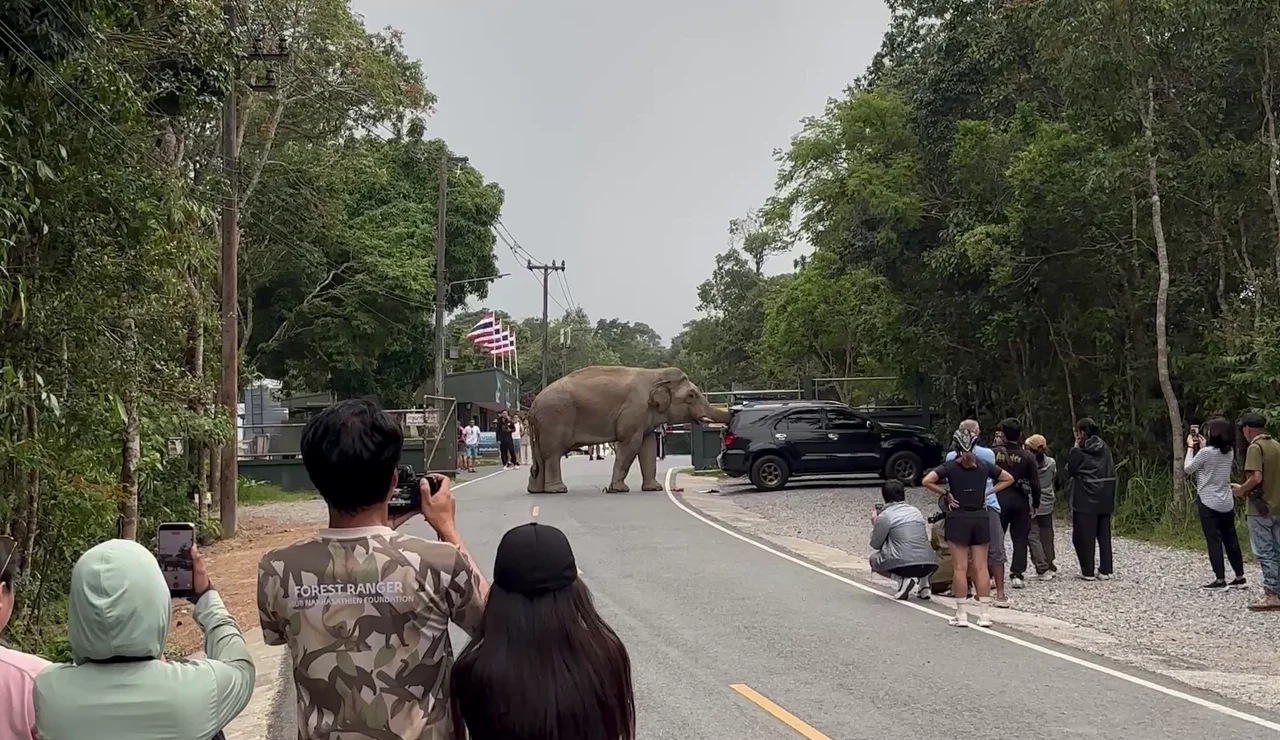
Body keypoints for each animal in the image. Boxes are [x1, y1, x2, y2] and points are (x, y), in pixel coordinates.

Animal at [527, 366, 730, 493]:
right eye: (691, 395)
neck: (656, 375)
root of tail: (533, 406)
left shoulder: (645, 417)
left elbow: (648, 447)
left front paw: (654, 488)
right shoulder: (634, 410)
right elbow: (630, 445)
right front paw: (618, 489)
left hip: (543, 425)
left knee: (540, 457)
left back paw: (536, 491)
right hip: (554, 419)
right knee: (552, 454)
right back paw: (558, 490)